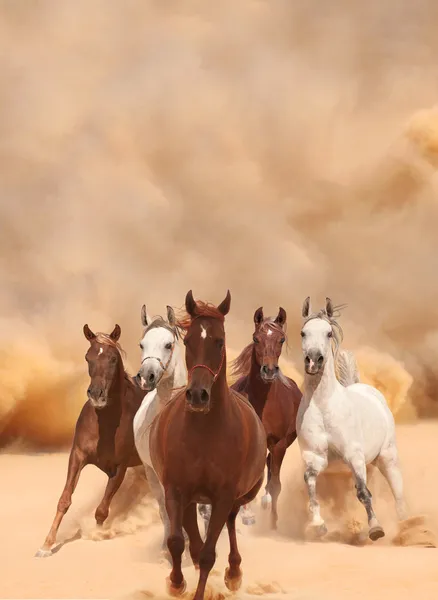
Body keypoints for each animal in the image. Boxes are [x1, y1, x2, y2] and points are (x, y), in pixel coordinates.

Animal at [35, 324, 144, 556]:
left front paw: (96, 534)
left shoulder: (119, 468)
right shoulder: (77, 456)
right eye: (88, 357)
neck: (105, 424)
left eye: (113, 358)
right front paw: (46, 545)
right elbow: (64, 500)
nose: (96, 394)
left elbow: (102, 510)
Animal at [149, 290, 266, 600]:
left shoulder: (224, 496)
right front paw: (176, 583)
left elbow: (207, 555)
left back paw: (234, 572)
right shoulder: (177, 490)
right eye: (187, 341)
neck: (204, 435)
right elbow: (178, 542)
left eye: (219, 341)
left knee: (231, 520)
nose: (198, 395)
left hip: (239, 495)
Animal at [231, 310, 302, 528]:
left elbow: (276, 483)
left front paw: (273, 523)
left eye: (281, 339)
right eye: (256, 338)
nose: (269, 370)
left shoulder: (279, 444)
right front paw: (247, 514)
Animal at [296, 298, 408, 540]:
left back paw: (407, 526)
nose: (313, 361)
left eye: (328, 333)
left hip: (387, 457)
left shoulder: (354, 455)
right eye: (303, 332)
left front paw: (376, 528)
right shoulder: (315, 458)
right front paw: (317, 524)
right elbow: (310, 484)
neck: (323, 407)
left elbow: (364, 493)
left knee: (397, 493)